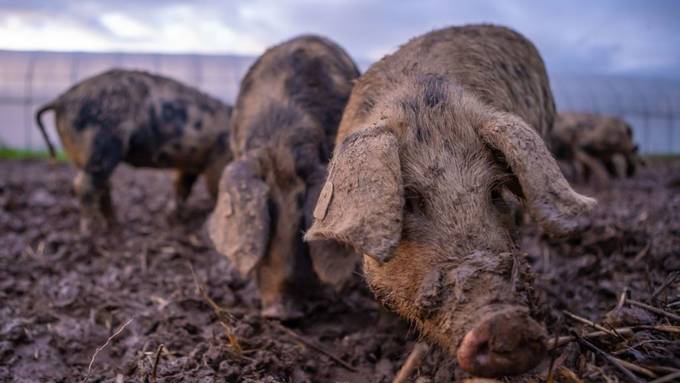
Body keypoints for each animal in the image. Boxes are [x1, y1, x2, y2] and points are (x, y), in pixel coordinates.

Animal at [36, 69, 234, 234]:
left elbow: (182, 187)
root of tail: (62, 99)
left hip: (78, 152)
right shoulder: (219, 157)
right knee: (84, 184)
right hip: (103, 141)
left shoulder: (191, 164)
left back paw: (115, 225)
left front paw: (172, 217)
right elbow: (216, 188)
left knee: (101, 184)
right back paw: (95, 231)